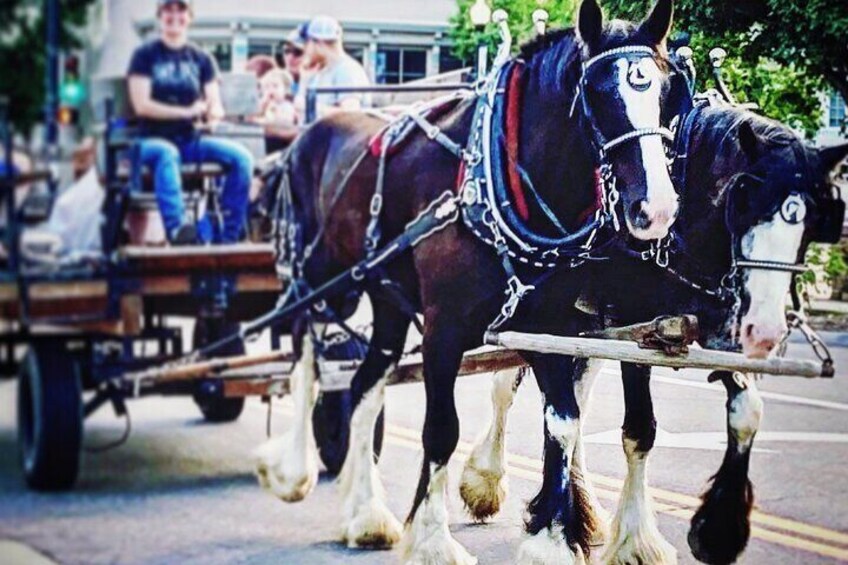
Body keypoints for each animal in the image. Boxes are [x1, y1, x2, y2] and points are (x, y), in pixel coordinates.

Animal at [253, 2, 684, 560]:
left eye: (664, 90)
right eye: (596, 92)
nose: (656, 209)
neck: (503, 181)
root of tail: (309, 134)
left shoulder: (547, 329)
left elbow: (563, 423)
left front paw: (551, 541)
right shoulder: (444, 330)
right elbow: (441, 431)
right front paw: (434, 542)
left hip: (386, 299)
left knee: (365, 387)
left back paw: (366, 515)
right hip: (315, 282)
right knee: (304, 359)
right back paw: (292, 470)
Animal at [464, 103, 848, 560]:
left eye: (813, 221)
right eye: (744, 202)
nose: (768, 329)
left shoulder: (717, 331)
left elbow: (747, 411)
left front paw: (716, 531)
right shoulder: (637, 333)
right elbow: (638, 430)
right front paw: (635, 542)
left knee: (573, 400)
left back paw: (582, 512)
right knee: (506, 389)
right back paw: (486, 481)